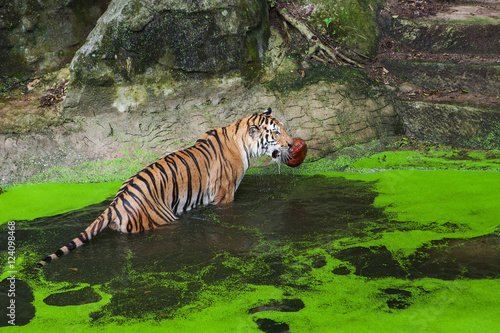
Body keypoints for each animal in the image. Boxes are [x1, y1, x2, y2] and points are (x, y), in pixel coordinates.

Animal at [39, 108, 296, 268]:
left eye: (283, 129)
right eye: (276, 133)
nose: (292, 144)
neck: (240, 137)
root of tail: (116, 204)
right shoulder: (224, 196)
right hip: (162, 219)